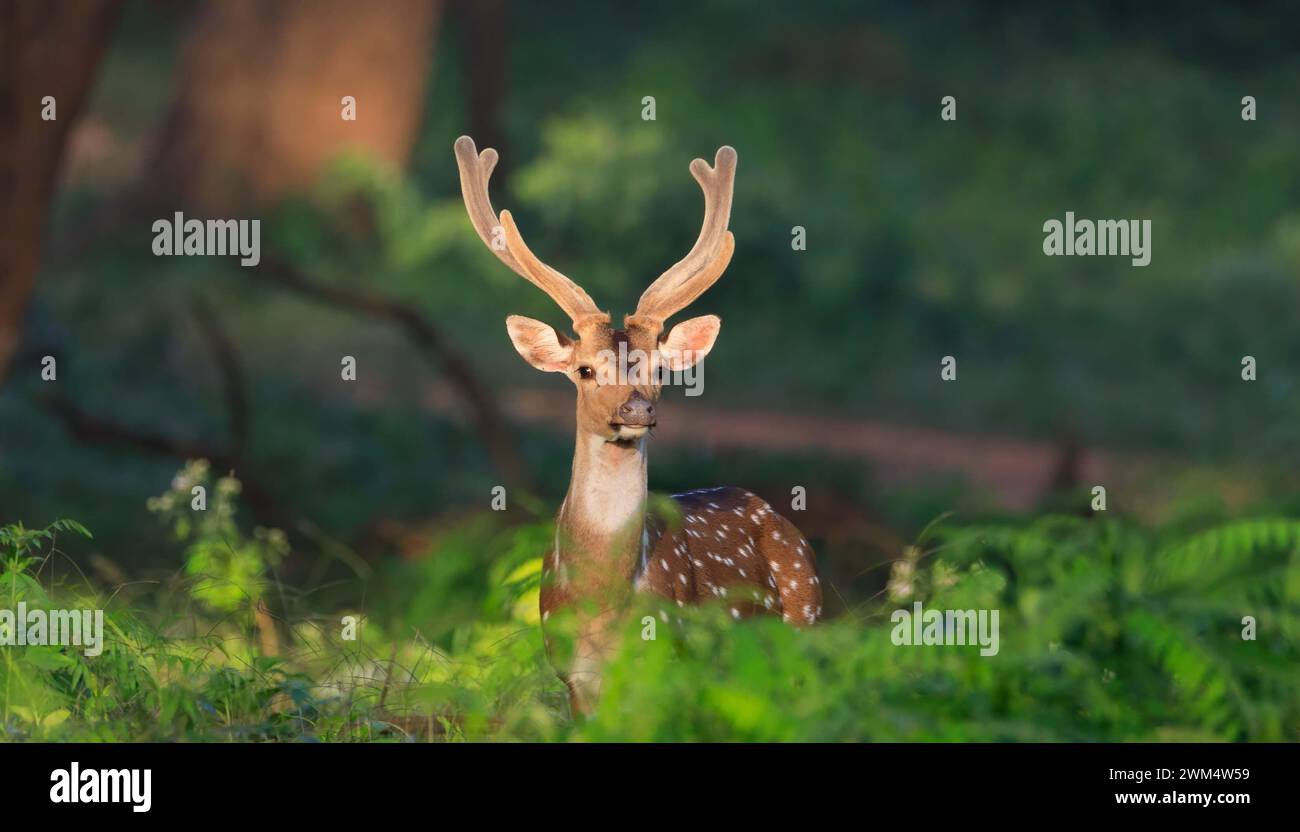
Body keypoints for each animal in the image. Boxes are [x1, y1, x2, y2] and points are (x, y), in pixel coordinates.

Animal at [454, 136, 822, 715]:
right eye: (584, 369)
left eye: (658, 371)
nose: (635, 411)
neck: (601, 606)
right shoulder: (570, 677)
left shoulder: (669, 657)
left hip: (806, 622)